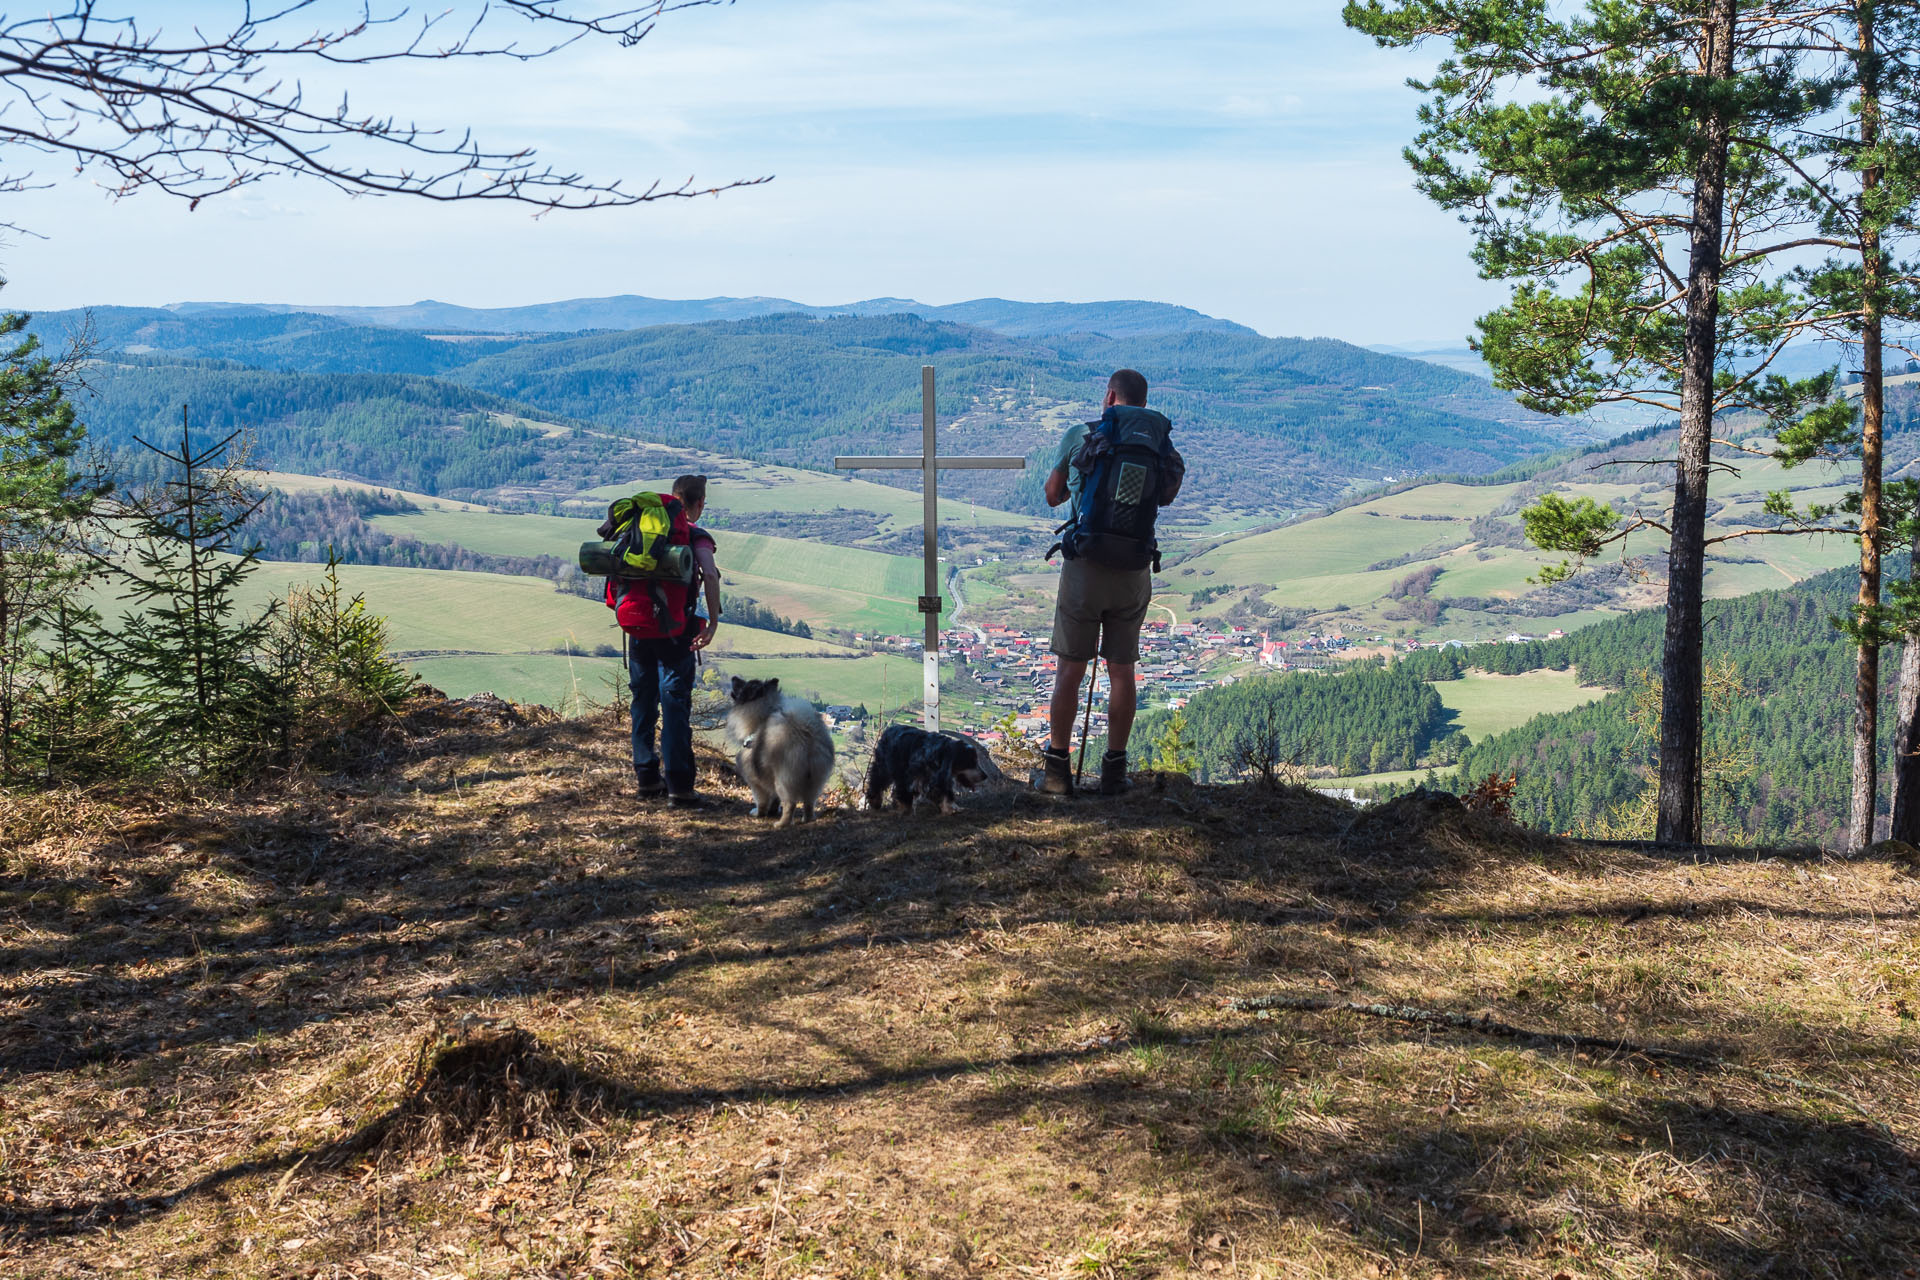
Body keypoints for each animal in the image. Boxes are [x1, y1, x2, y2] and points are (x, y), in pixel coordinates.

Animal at [725, 675, 833, 825]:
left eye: (743, 685)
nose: (734, 677)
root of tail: (806, 735)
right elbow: (774, 800)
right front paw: (773, 811)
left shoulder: (755, 781)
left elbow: (761, 801)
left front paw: (759, 813)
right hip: (815, 780)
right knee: (809, 803)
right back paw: (807, 819)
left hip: (784, 780)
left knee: (790, 803)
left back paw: (782, 824)